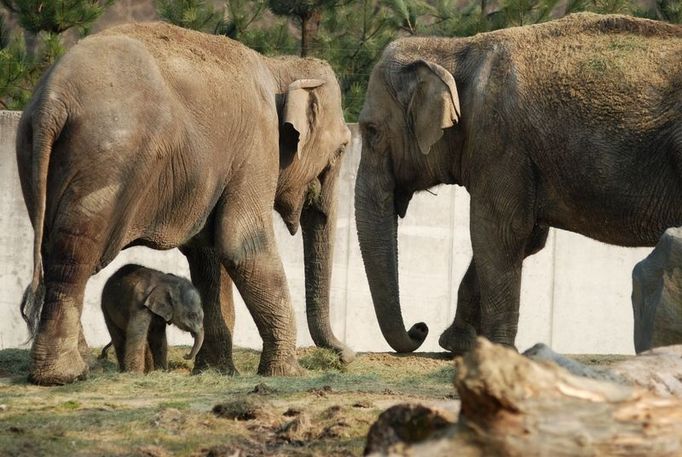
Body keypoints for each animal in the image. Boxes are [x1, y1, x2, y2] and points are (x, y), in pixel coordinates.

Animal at [17, 22, 350, 384]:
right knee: (75, 256)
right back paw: (64, 374)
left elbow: (207, 254)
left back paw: (79, 367)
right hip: (105, 161)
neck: (277, 65)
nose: (345, 356)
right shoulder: (257, 145)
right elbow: (240, 244)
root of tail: (52, 99)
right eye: (343, 148)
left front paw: (218, 371)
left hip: (34, 155)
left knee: (53, 248)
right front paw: (289, 373)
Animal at [356, 13, 680, 352]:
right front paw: (458, 344)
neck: (455, 49)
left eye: (371, 131)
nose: (421, 328)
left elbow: (499, 233)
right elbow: (527, 238)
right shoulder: (520, 156)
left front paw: (495, 350)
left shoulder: (500, 140)